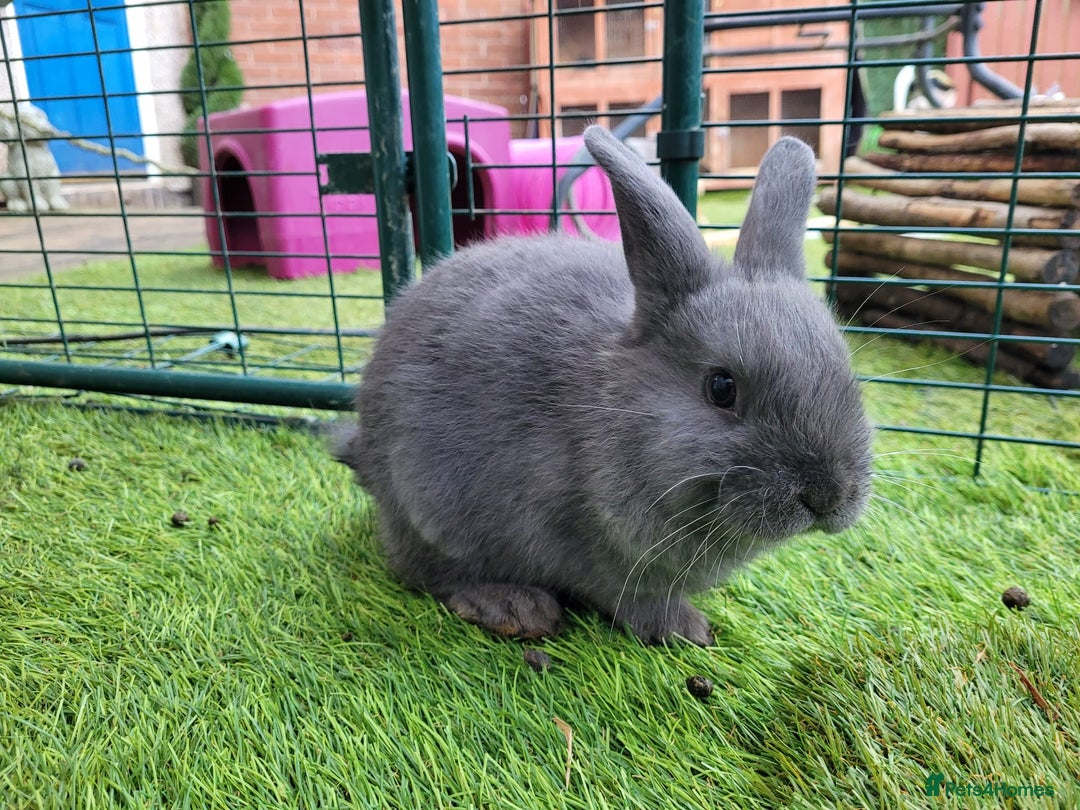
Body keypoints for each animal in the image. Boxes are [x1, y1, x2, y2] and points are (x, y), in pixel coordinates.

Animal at [334, 125, 873, 646]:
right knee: (426, 573)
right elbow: (627, 595)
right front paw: (684, 629)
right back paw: (514, 608)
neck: (615, 410)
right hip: (424, 506)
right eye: (721, 388)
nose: (827, 496)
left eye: (846, 372)